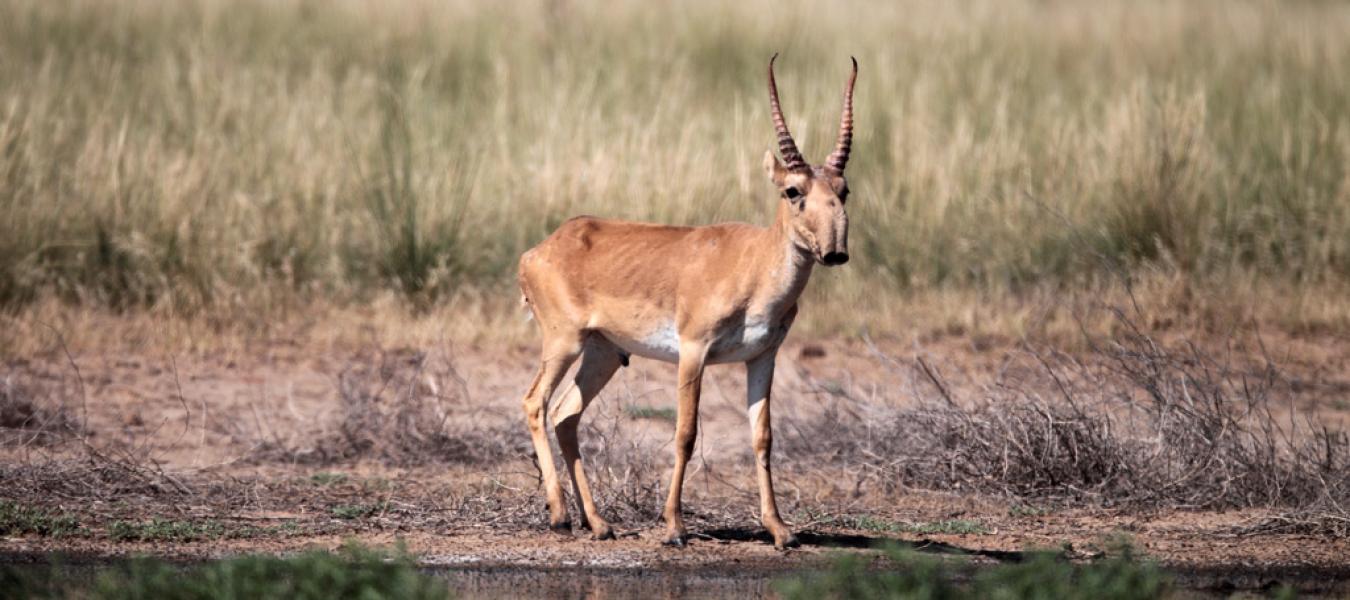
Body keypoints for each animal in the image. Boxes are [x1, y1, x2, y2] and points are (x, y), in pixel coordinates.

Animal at [515, 55, 853, 548]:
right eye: (793, 190)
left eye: (843, 190)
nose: (835, 252)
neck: (751, 261)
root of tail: (540, 249)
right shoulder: (693, 351)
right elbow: (685, 433)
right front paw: (675, 527)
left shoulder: (763, 356)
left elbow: (763, 437)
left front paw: (780, 530)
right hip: (564, 343)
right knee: (535, 404)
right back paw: (560, 516)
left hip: (603, 353)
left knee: (565, 414)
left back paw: (599, 524)